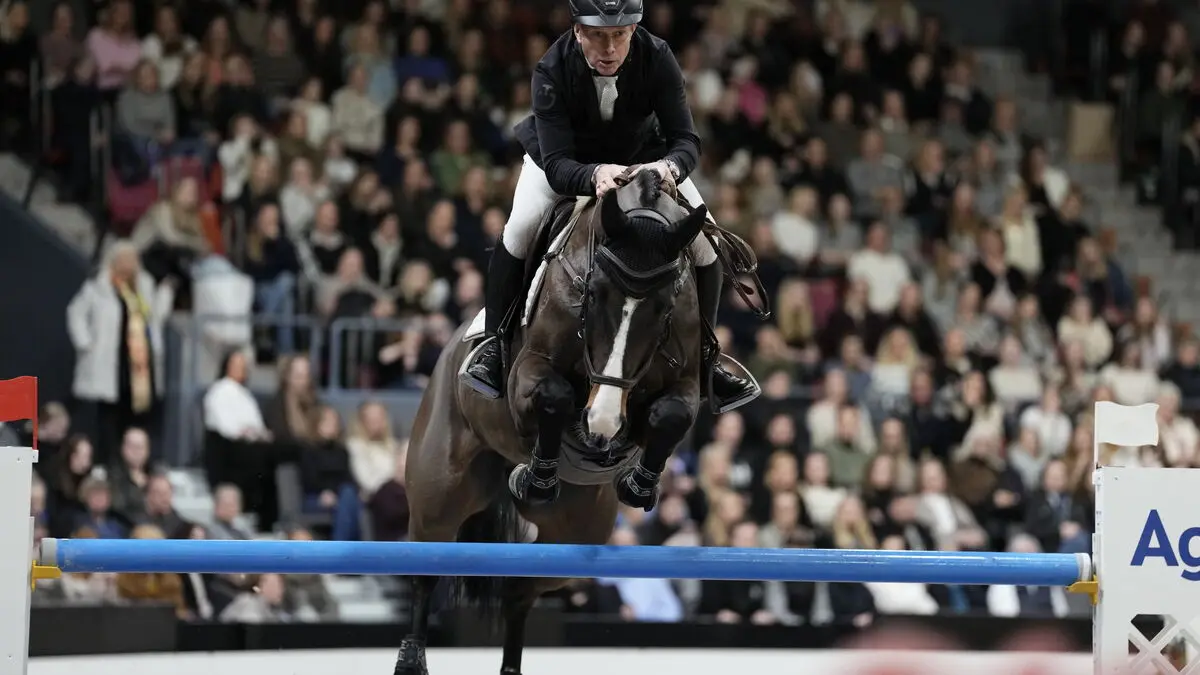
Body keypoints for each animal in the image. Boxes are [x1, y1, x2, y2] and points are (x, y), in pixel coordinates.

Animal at [396, 168, 748, 675]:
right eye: (592, 294)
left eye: (664, 307)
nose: (602, 422)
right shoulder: (528, 374)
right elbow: (555, 395)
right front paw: (544, 470)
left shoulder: (684, 382)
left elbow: (670, 414)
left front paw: (637, 484)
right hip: (440, 491)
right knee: (425, 566)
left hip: (576, 530)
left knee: (521, 588)